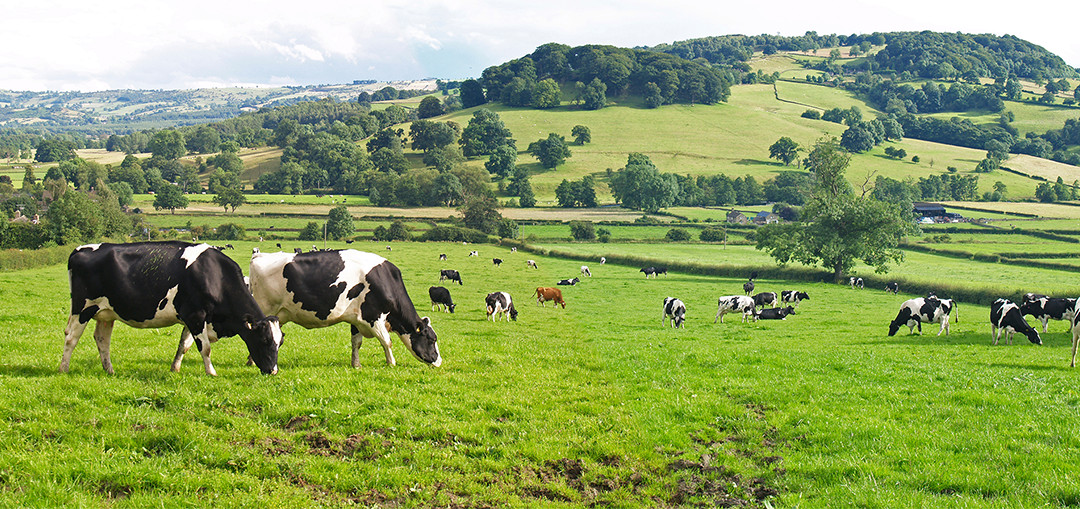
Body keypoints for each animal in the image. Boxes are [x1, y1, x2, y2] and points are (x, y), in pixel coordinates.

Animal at [60, 240, 282, 376]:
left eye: (279, 343)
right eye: (264, 340)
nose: (273, 371)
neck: (214, 275)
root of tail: (79, 250)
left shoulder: (192, 318)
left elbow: (184, 345)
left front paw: (175, 368)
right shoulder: (195, 315)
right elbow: (205, 348)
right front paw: (211, 372)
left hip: (106, 313)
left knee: (102, 340)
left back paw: (110, 370)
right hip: (82, 308)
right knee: (71, 337)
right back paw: (64, 368)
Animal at [249, 248, 442, 369]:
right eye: (432, 339)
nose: (439, 361)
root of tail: (259, 256)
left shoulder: (356, 318)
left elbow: (357, 343)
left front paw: (356, 365)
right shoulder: (374, 316)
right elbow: (387, 341)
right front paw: (391, 363)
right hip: (265, 309)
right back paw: (252, 361)